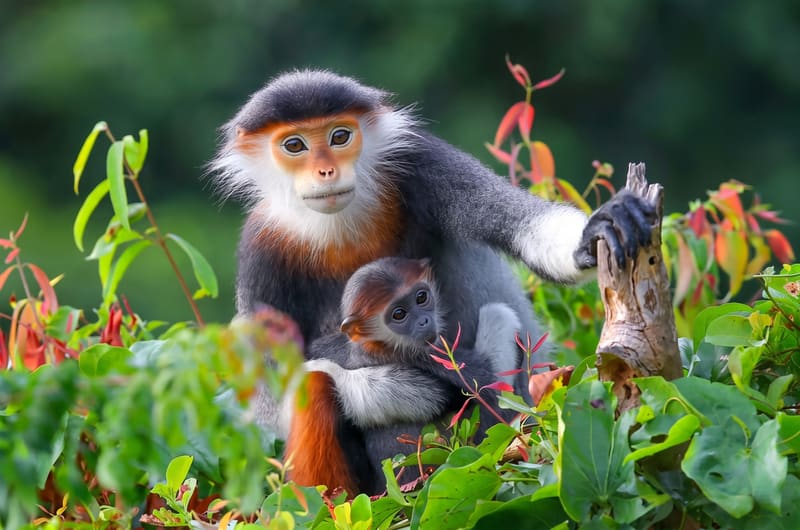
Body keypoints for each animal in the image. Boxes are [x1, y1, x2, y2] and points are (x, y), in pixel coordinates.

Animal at [286, 257, 523, 494]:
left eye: (421, 297)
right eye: (399, 314)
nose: (424, 321)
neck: (378, 345)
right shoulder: (426, 356)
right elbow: (487, 384)